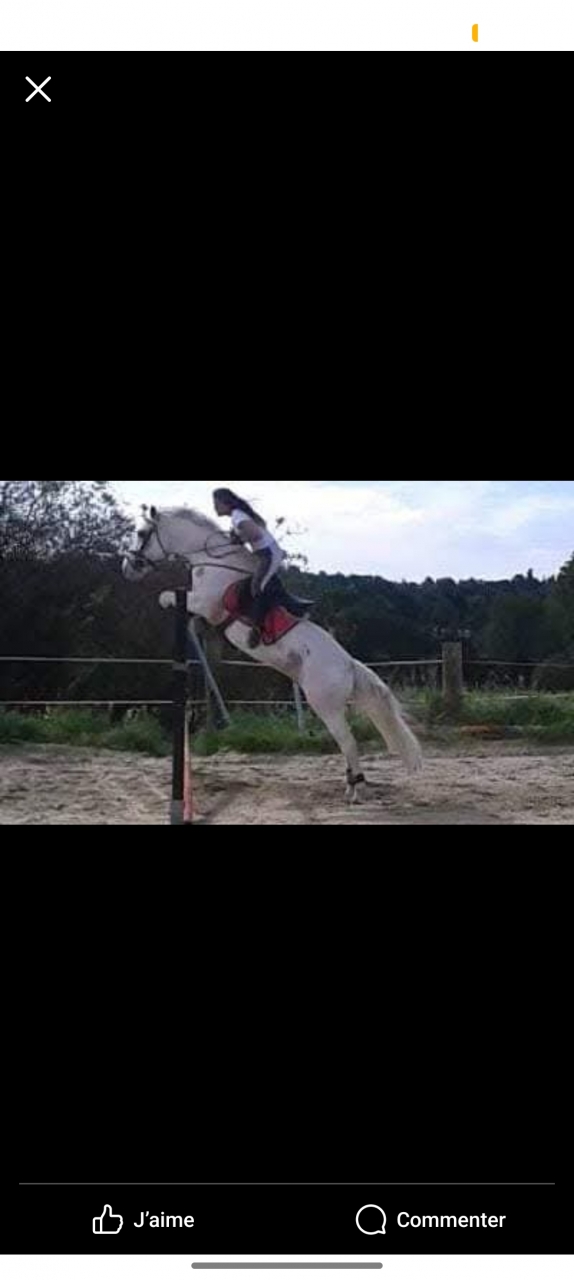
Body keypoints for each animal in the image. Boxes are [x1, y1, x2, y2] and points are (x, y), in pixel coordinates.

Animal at [122, 505, 423, 803]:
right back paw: (349, 784)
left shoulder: (204, 603)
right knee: (345, 743)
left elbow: (166, 597)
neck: (209, 560)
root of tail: (349, 664)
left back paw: (355, 790)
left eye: (142, 533)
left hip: (324, 703)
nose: (128, 568)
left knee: (348, 742)